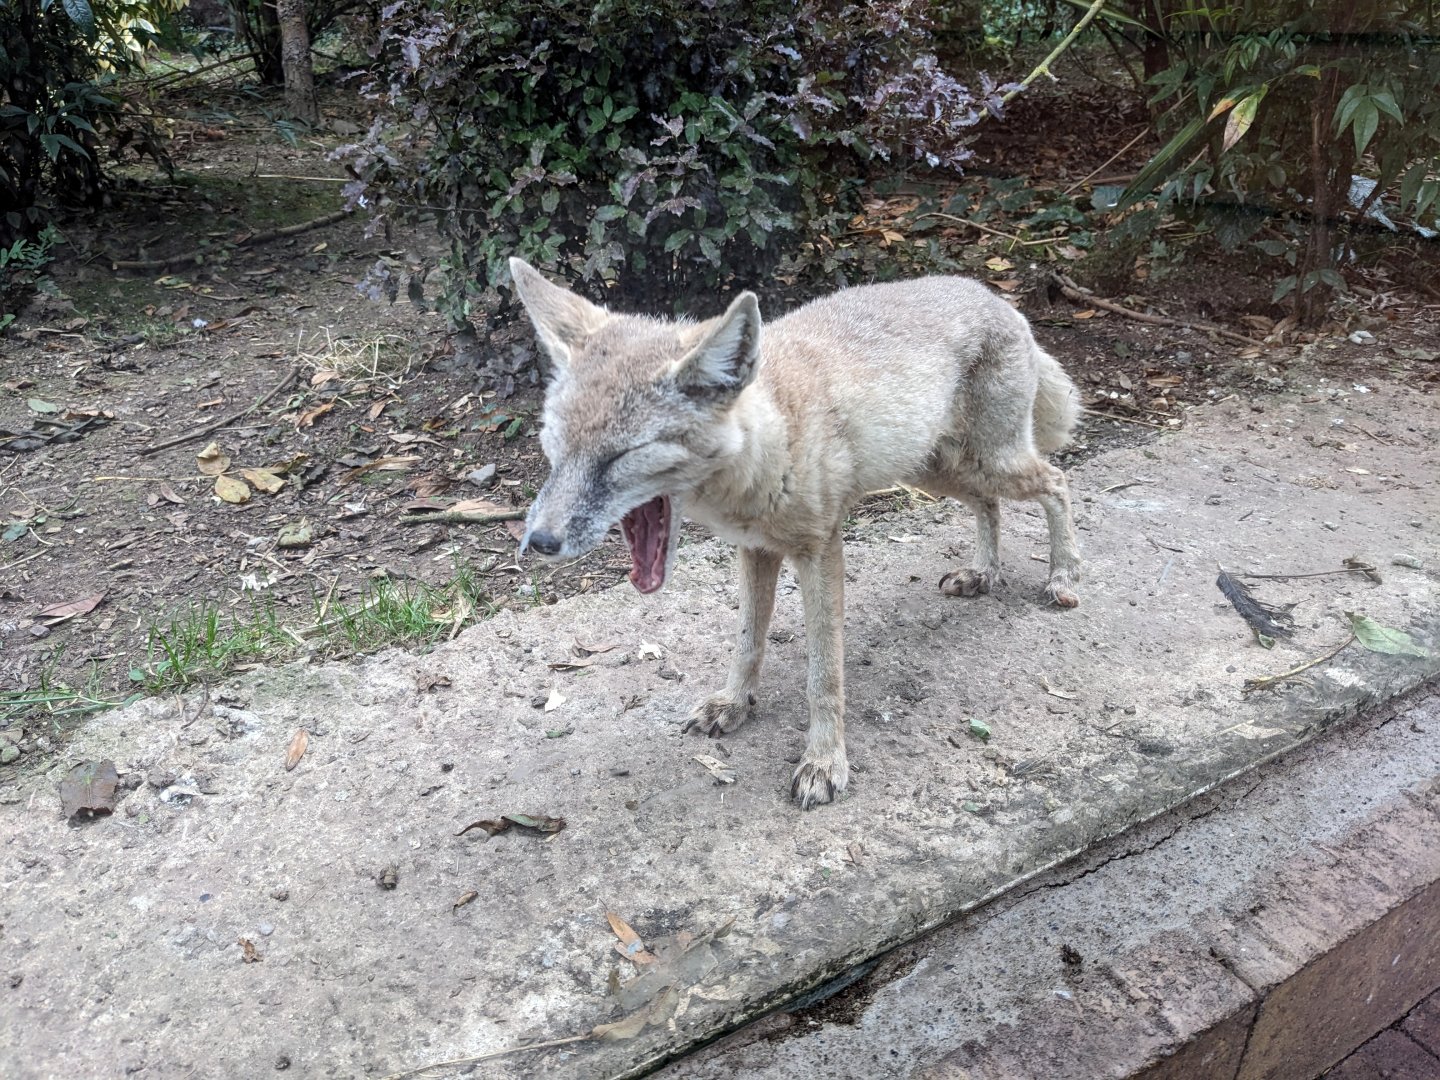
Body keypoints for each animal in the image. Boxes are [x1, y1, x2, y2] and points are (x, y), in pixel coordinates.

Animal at [509, 257, 1082, 809]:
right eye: (553, 446)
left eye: (621, 456)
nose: (538, 543)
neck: (771, 441)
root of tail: (992, 295)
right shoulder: (755, 550)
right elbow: (747, 642)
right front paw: (734, 703)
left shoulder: (820, 548)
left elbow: (823, 675)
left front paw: (825, 761)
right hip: (938, 471)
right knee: (991, 503)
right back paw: (984, 572)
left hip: (988, 462)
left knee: (1056, 481)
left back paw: (1063, 575)